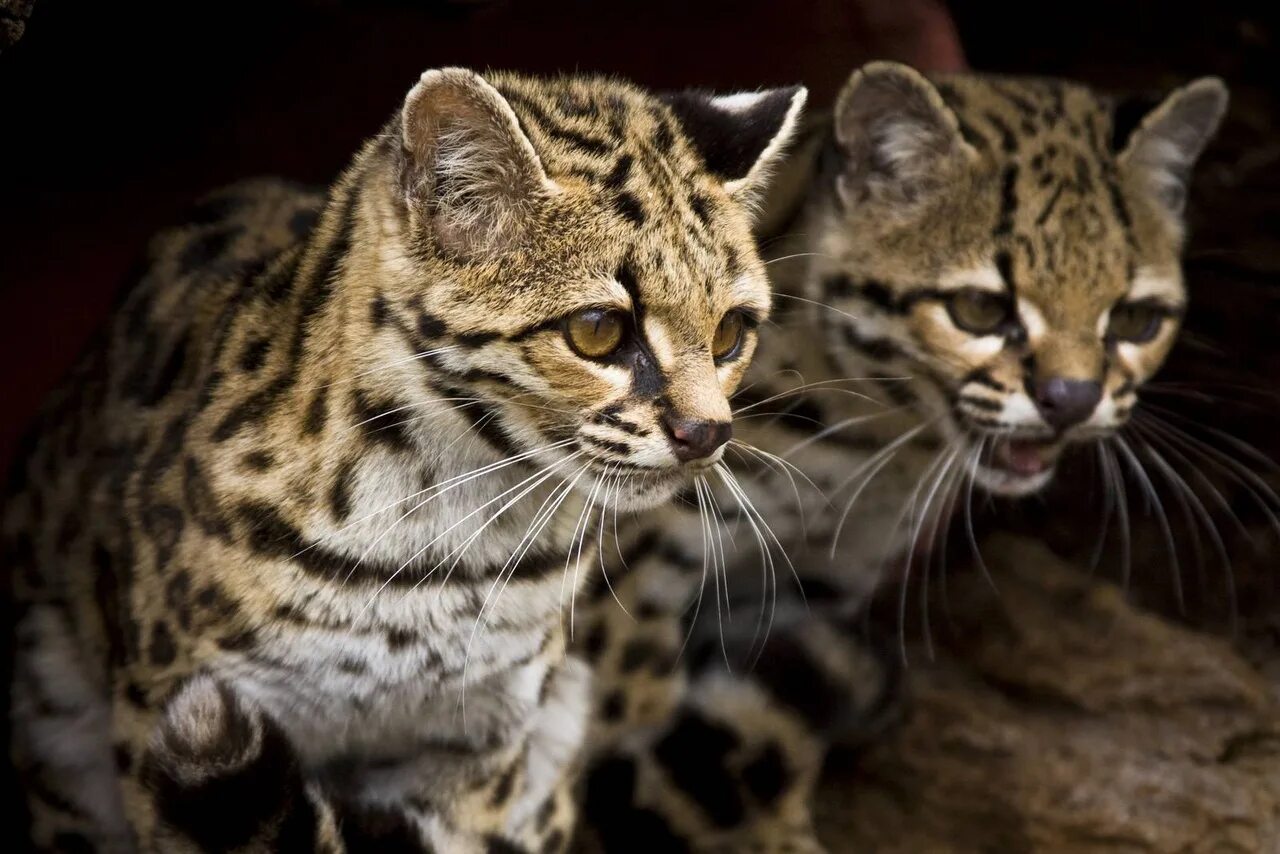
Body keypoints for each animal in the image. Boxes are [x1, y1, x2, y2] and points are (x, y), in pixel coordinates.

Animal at [7, 68, 808, 854]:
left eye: (731, 332)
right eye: (597, 330)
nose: (708, 432)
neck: (446, 532)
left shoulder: (482, 746)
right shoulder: (165, 711)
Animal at [573, 63, 1228, 850]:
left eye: (1135, 320)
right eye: (981, 310)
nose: (1072, 399)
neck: (863, 451)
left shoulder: (810, 587)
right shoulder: (623, 589)